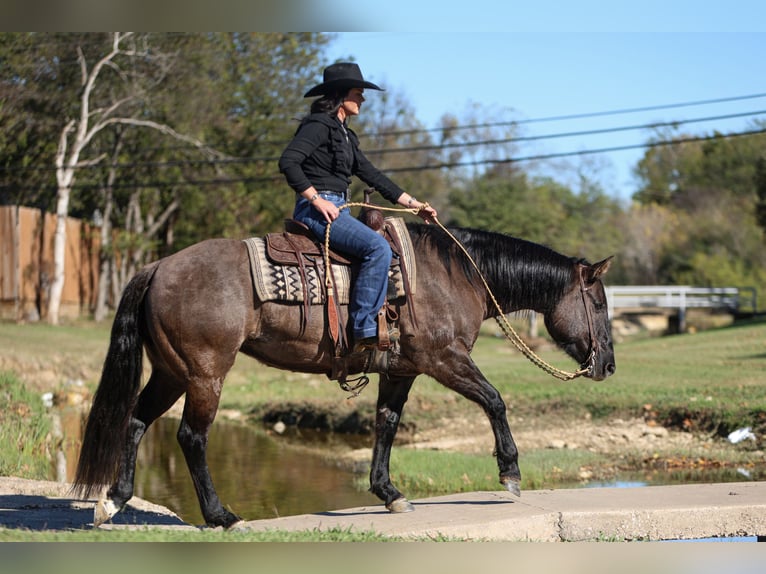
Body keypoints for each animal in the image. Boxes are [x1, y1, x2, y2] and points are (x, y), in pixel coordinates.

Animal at [73, 223, 616, 528]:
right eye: (598, 303)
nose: (608, 365)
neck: (454, 274)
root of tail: (159, 266)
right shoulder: (444, 359)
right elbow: (495, 400)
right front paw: (510, 474)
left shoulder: (403, 370)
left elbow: (386, 425)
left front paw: (388, 493)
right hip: (205, 374)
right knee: (191, 436)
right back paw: (220, 516)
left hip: (171, 371)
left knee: (137, 421)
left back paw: (112, 502)